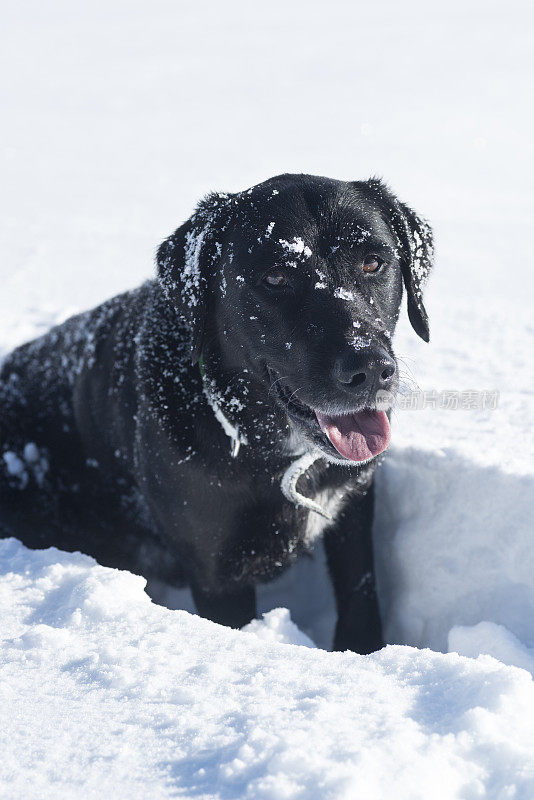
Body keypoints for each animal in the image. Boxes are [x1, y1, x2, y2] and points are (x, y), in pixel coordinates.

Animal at [0, 173, 436, 648]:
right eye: (276, 276)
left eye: (373, 263)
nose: (370, 368)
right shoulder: (217, 575)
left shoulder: (353, 512)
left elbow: (360, 597)